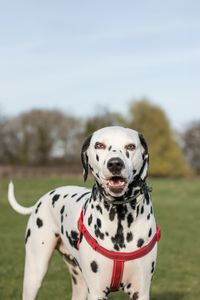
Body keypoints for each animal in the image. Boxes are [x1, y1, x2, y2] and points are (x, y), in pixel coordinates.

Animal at [7, 125, 160, 298]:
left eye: (131, 146)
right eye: (99, 145)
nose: (115, 164)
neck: (119, 216)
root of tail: (42, 199)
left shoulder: (140, 292)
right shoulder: (97, 292)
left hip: (79, 283)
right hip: (35, 272)